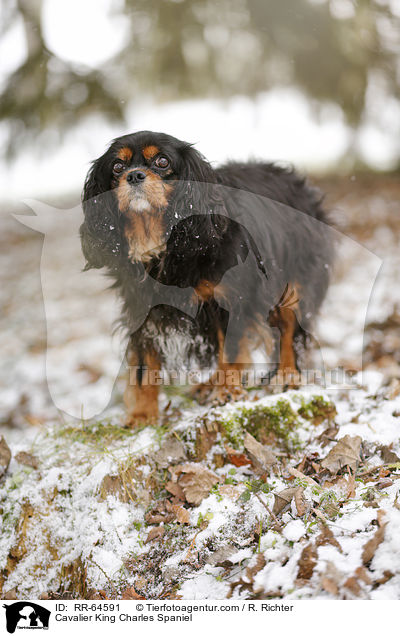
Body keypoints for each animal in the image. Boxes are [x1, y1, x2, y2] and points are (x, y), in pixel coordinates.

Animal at [79, 130, 332, 424]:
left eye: (162, 162)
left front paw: (228, 392)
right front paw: (142, 416)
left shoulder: (231, 300)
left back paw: (287, 375)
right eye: (118, 167)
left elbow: (230, 350)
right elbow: (143, 365)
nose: (134, 175)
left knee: (290, 331)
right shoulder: (143, 312)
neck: (168, 244)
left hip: (293, 283)